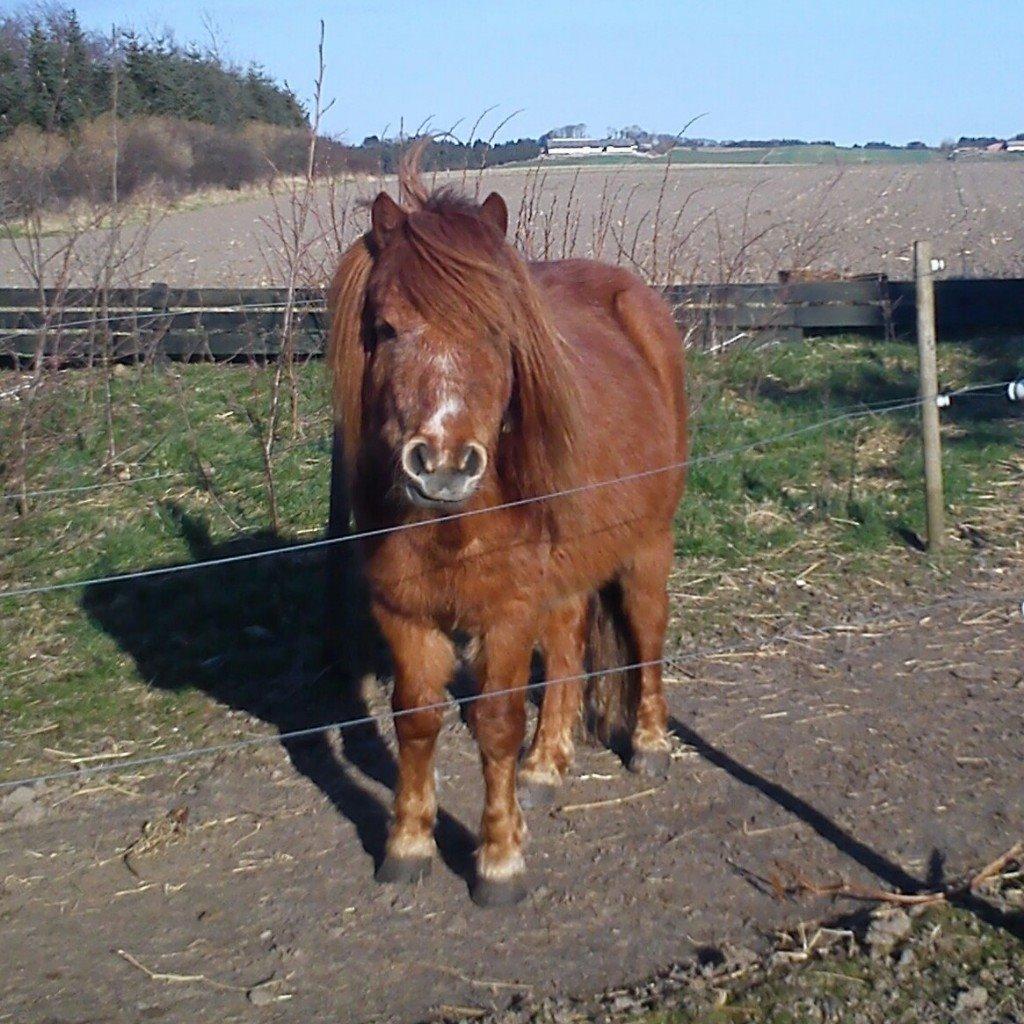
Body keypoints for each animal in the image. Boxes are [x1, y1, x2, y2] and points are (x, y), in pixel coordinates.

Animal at [327, 142, 688, 905]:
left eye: (499, 331)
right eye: (386, 329)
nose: (442, 464)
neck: (454, 525)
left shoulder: (508, 612)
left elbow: (494, 722)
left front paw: (498, 859)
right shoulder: (404, 613)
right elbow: (416, 718)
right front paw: (408, 843)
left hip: (647, 546)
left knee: (646, 634)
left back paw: (648, 745)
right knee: (570, 649)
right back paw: (545, 767)